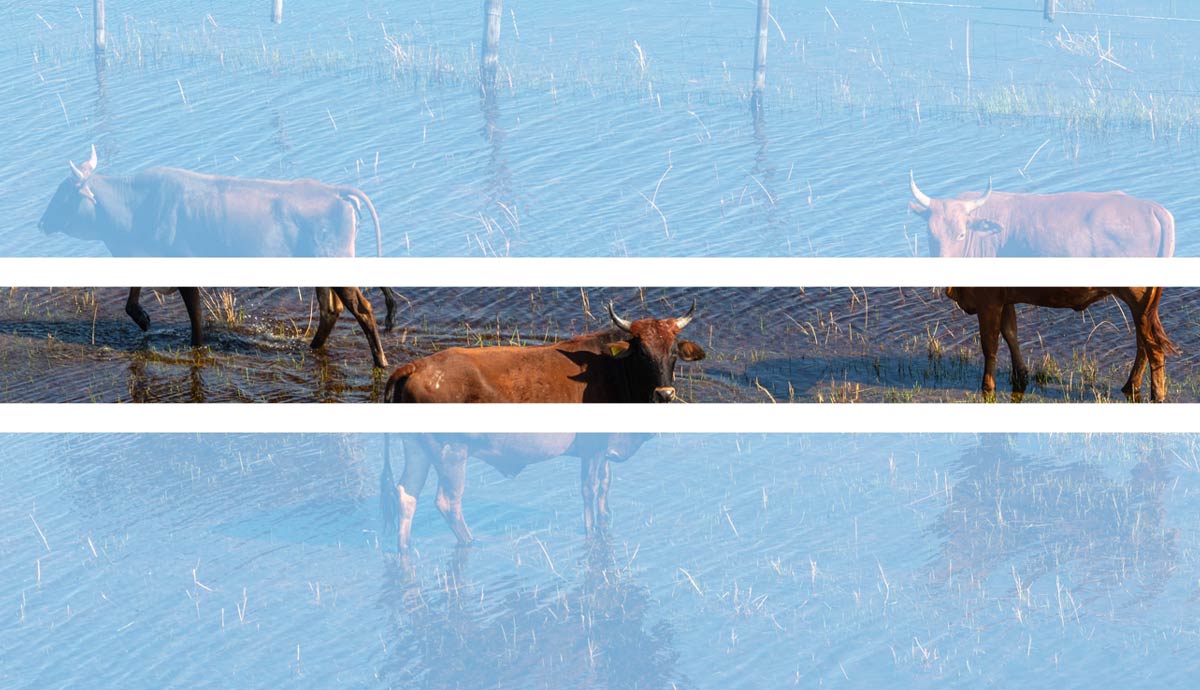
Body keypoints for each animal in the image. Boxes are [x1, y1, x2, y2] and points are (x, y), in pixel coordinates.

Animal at [40, 146, 395, 366]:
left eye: (63, 193)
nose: (41, 222)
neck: (135, 208)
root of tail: (334, 191)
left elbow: (195, 318)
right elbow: (134, 297)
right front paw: (142, 318)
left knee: (361, 309)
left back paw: (380, 360)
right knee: (330, 309)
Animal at [380, 433, 652, 549]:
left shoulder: (601, 453)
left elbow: (604, 487)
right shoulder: (593, 450)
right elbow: (590, 490)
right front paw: (591, 535)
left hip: (418, 453)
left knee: (406, 496)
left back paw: (404, 548)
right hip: (453, 458)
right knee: (447, 502)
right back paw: (471, 542)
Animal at [945, 287, 1176, 402]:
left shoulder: (988, 301)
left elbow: (989, 344)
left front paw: (987, 386)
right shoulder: (1004, 299)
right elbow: (1010, 332)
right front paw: (1020, 374)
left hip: (1139, 304)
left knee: (1153, 347)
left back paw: (1157, 395)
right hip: (1142, 309)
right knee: (1144, 344)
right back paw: (1131, 386)